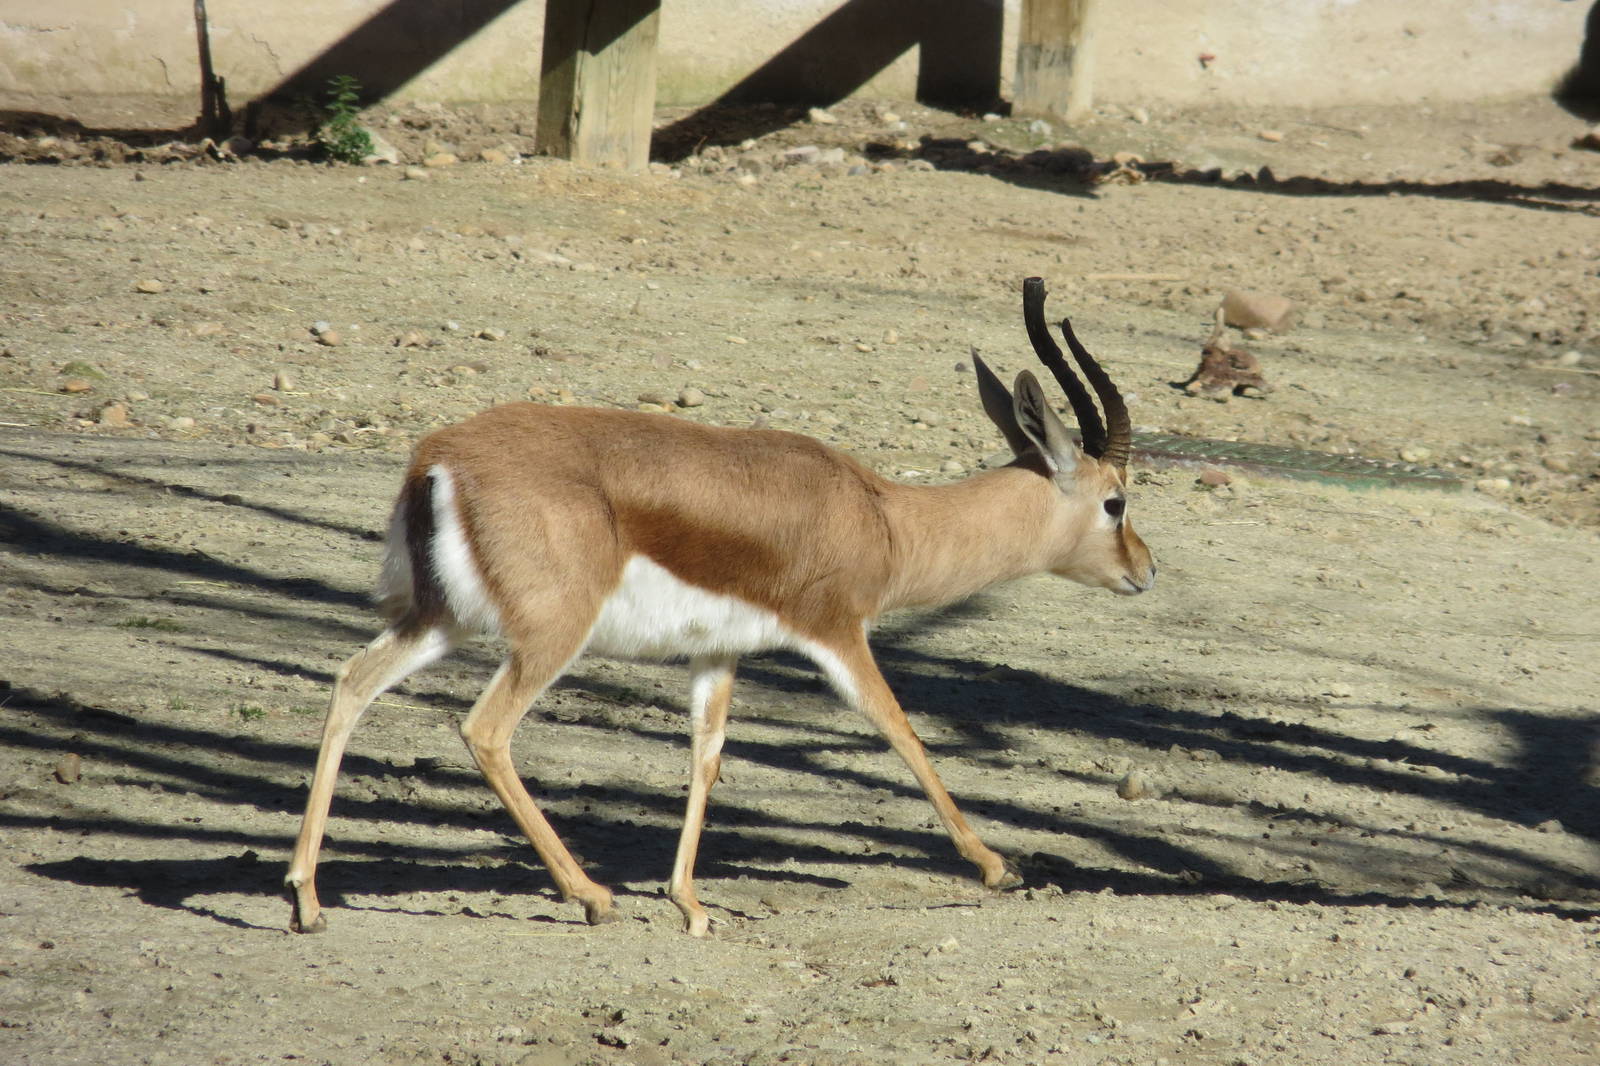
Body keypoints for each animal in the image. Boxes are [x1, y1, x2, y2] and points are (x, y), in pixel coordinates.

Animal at [284, 277, 1155, 937]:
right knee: (485, 729)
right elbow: (900, 730)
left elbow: (707, 753)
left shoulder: (720, 649)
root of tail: (439, 460)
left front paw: (691, 905)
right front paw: (996, 866)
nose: (1144, 571)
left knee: (353, 680)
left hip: (439, 621)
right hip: (546, 639)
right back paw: (591, 897)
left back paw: (306, 900)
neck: (884, 519)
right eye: (1115, 501)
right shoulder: (839, 634)